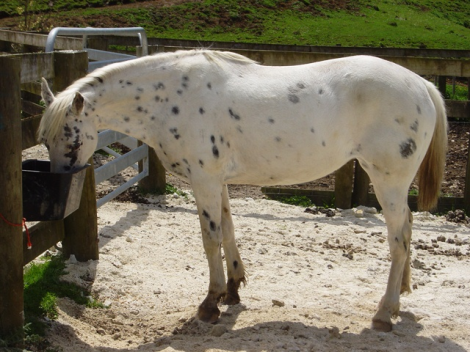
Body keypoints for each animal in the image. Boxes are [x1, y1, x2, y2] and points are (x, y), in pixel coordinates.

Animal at [38, 48, 446, 330]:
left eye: (72, 140)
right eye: (45, 140)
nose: (59, 189)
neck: (172, 98)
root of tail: (422, 85)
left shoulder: (203, 180)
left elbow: (210, 238)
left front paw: (210, 302)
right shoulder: (216, 180)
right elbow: (229, 230)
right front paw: (233, 289)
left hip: (388, 180)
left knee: (398, 240)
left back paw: (383, 313)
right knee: (407, 229)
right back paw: (399, 297)